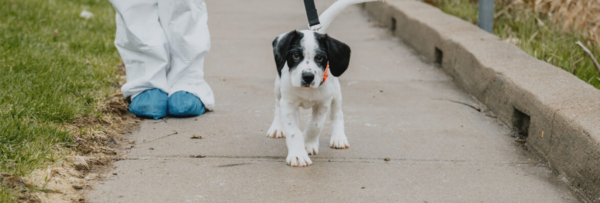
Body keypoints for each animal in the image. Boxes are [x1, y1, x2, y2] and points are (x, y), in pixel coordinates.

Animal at [268, 0, 380, 167]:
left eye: (320, 58)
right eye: (295, 55)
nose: (308, 76)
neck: (308, 91)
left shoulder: (323, 103)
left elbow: (316, 125)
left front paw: (308, 142)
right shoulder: (288, 104)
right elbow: (293, 131)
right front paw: (298, 154)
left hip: (336, 93)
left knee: (338, 114)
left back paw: (338, 137)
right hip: (278, 88)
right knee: (276, 105)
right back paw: (276, 127)